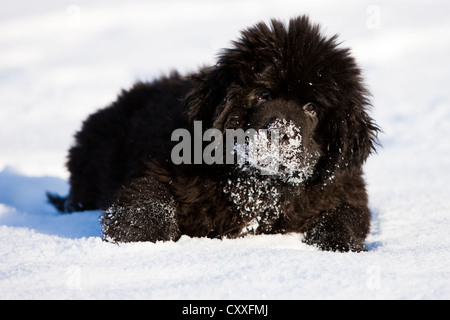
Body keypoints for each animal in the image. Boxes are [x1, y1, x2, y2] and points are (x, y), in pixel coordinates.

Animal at [47, 16, 380, 251]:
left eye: (312, 108)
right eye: (262, 94)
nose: (280, 132)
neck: (260, 187)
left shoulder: (343, 189)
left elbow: (345, 217)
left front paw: (342, 246)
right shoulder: (161, 165)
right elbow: (150, 197)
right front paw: (139, 237)